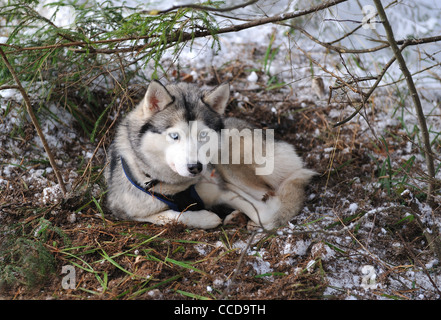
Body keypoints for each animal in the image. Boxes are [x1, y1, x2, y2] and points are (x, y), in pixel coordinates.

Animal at [105, 80, 314, 230]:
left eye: (203, 135)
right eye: (175, 136)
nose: (195, 167)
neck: (176, 187)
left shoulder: (221, 190)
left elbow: (265, 212)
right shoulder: (125, 211)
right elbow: (167, 216)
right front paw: (206, 218)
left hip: (229, 161)